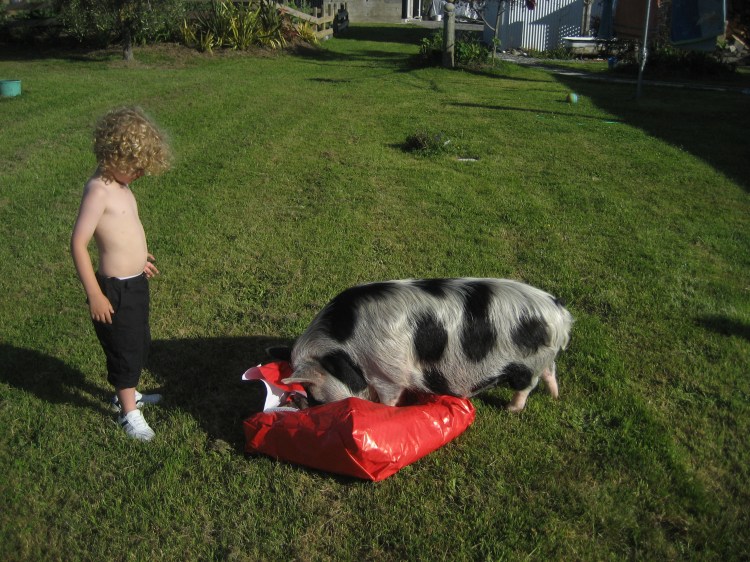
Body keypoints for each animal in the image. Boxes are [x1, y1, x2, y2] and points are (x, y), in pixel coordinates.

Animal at [281, 278, 573, 412]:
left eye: (317, 395)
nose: (300, 402)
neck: (346, 351)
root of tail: (560, 312)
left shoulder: (388, 373)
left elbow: (389, 399)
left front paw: (383, 411)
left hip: (528, 363)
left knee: (526, 386)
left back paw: (511, 410)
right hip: (545, 358)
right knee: (551, 373)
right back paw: (556, 397)